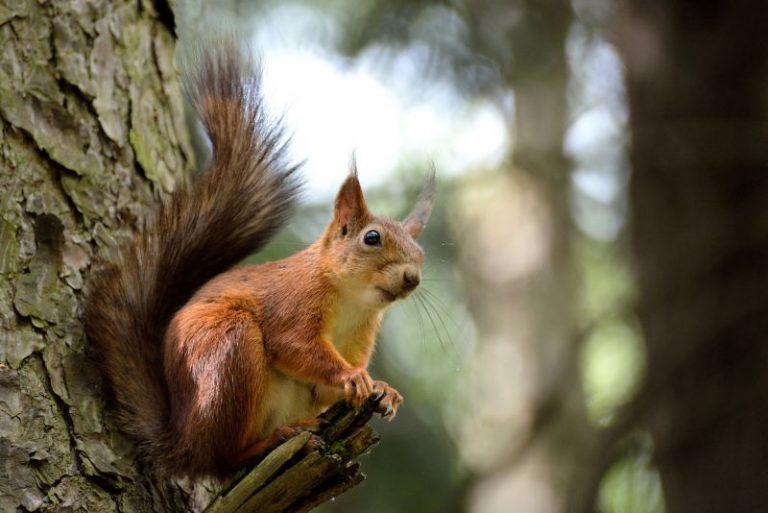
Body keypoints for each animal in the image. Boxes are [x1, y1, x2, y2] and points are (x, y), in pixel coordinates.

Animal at [85, 42, 436, 478]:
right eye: (371, 238)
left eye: (421, 254)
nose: (412, 278)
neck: (352, 302)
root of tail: (183, 444)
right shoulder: (294, 302)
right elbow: (294, 345)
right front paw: (353, 375)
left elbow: (324, 388)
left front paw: (384, 390)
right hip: (227, 354)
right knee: (223, 458)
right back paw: (270, 442)